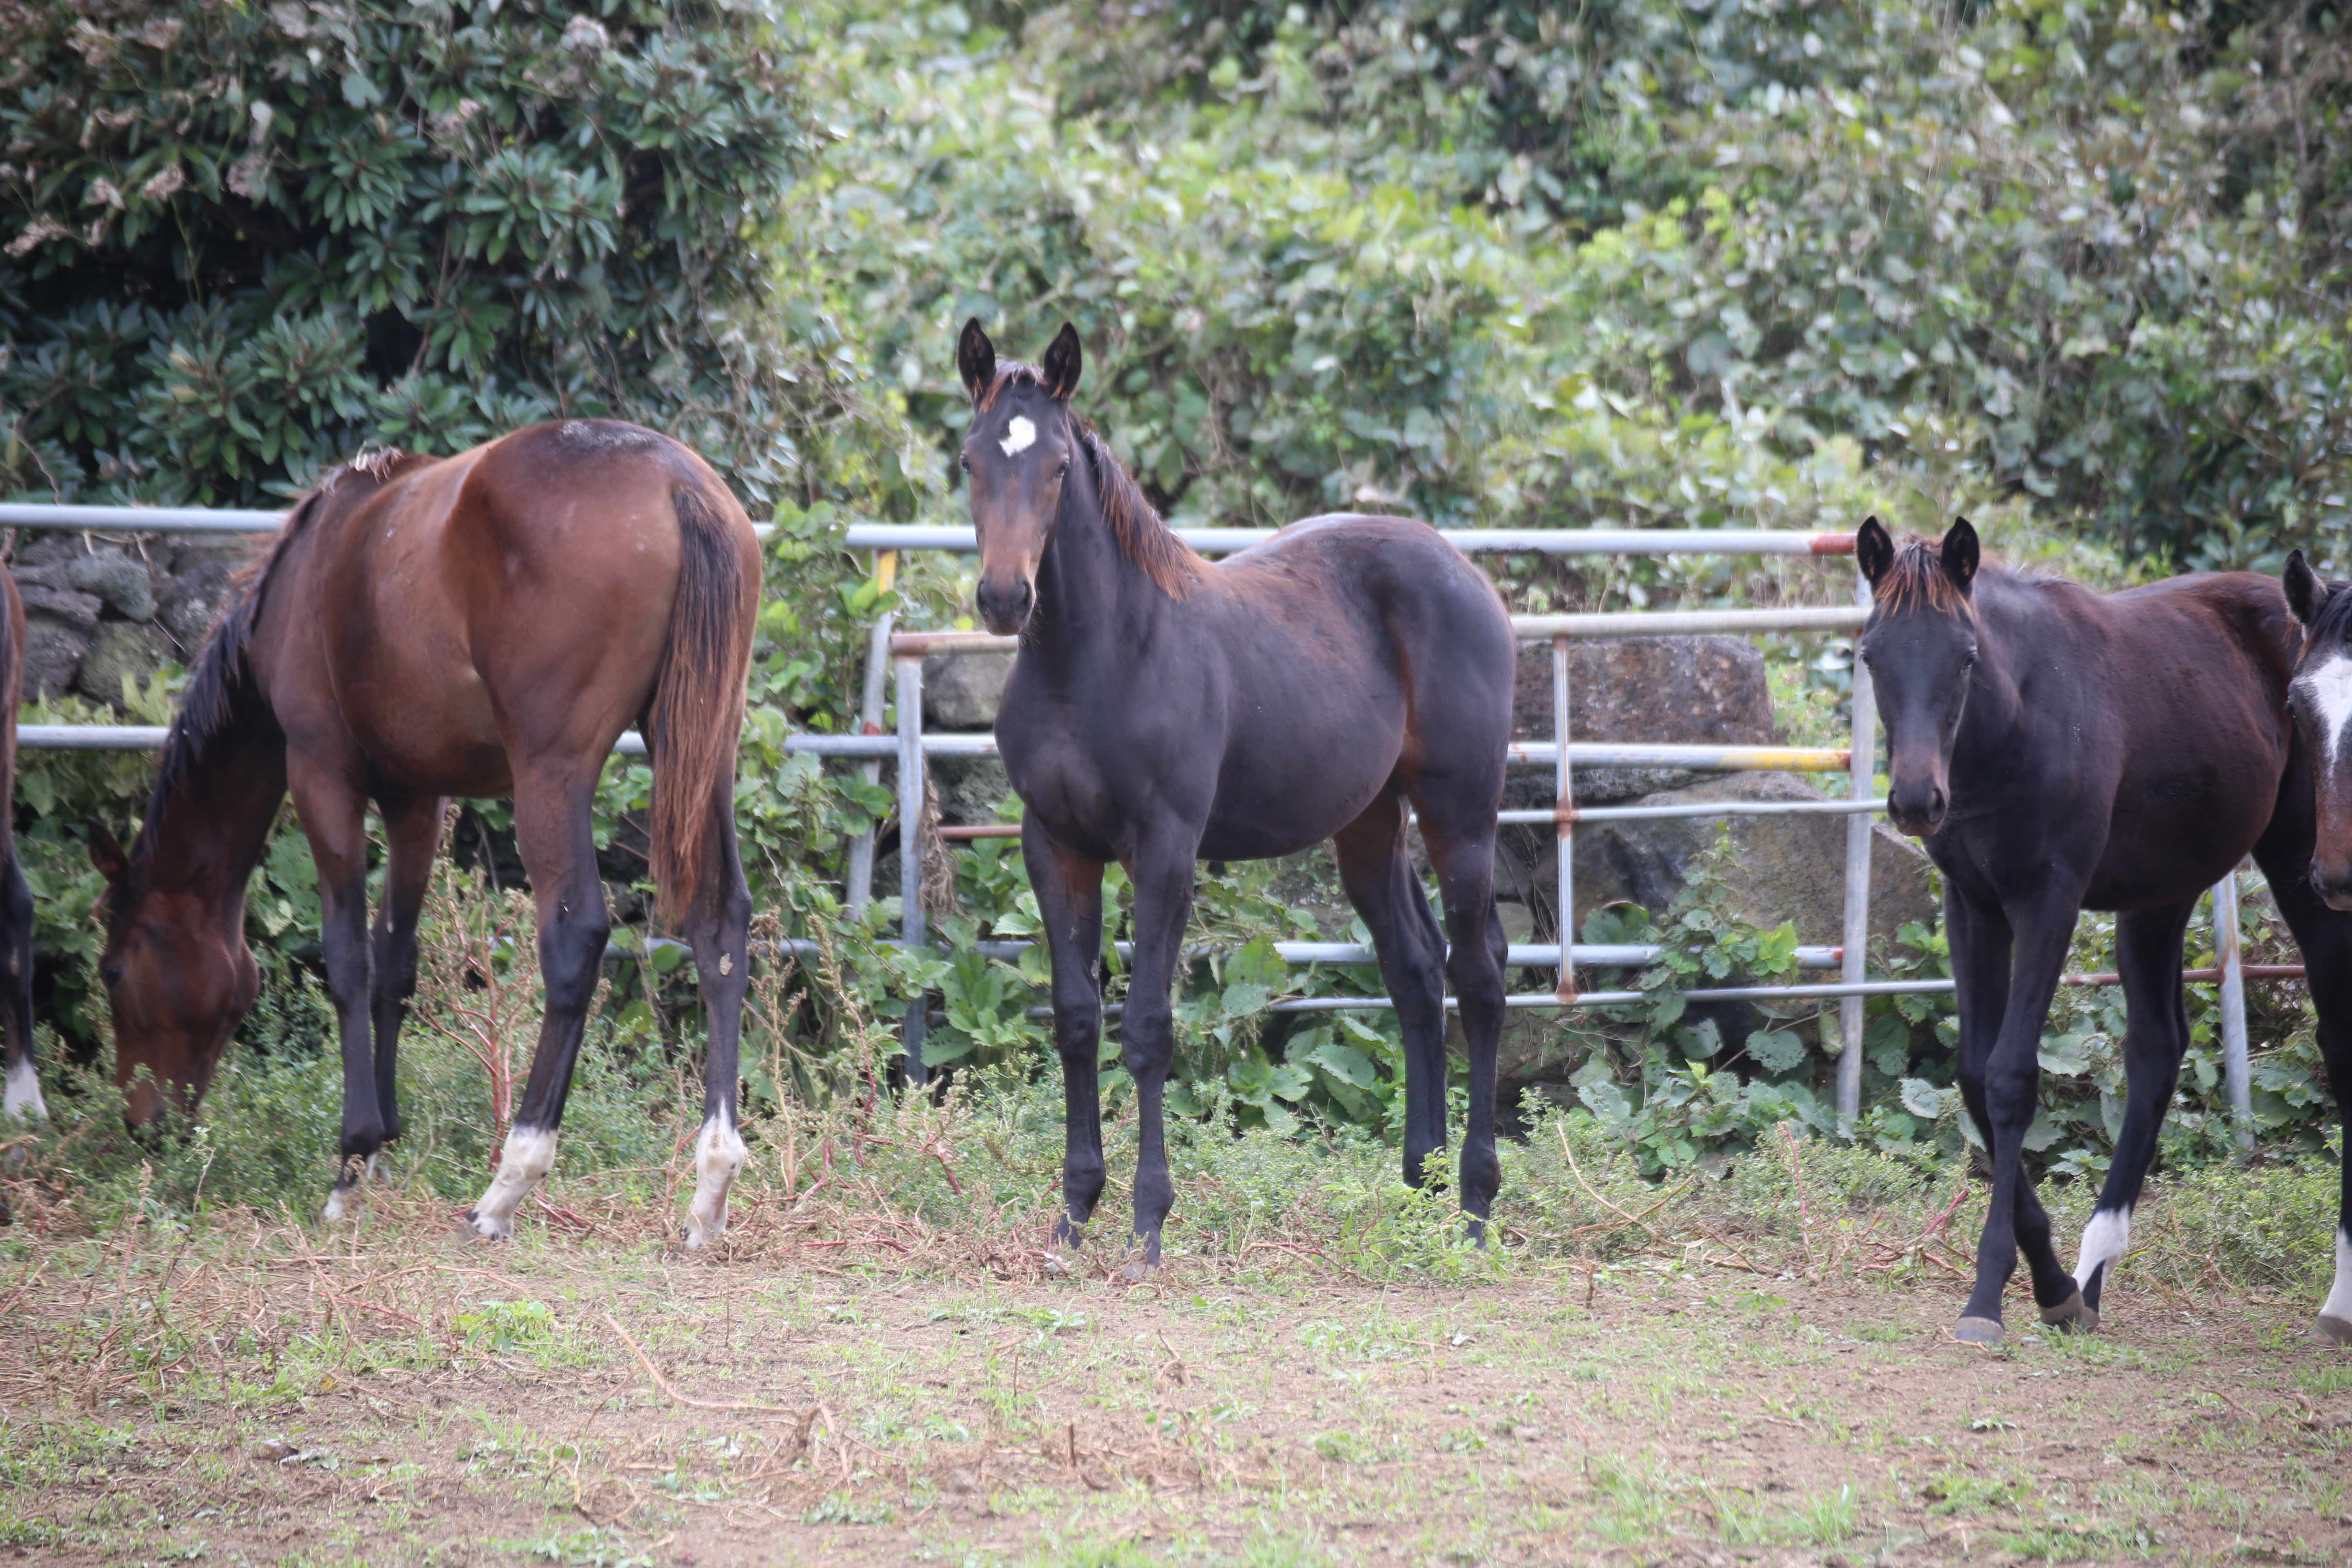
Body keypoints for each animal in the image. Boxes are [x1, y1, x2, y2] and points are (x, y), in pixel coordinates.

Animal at [87, 423, 753, 1241]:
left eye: (114, 972)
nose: (144, 1128)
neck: (306, 577)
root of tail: (675, 479)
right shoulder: (416, 797)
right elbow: (395, 961)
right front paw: (383, 1148)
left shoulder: (322, 775)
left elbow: (349, 960)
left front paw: (351, 1163)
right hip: (701, 749)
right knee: (719, 925)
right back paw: (712, 1182)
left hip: (553, 772)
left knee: (576, 939)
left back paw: (508, 1183)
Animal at [960, 319, 1524, 1260]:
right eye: (970, 459)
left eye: (1060, 468)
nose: (1006, 598)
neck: (1093, 662)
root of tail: (1469, 573)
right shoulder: (1056, 846)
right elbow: (1076, 1019)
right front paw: (1074, 1214)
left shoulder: (1165, 850)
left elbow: (1148, 1028)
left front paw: (1149, 1226)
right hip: (1369, 825)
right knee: (1414, 970)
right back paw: (1421, 1184)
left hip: (1461, 813)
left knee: (1479, 976)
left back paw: (1477, 1206)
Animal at [1862, 517, 2342, 1354]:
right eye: (1870, 655)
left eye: (1965, 656)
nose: (1918, 800)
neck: (2016, 721)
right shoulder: (1972, 906)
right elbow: (1973, 1075)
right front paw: (2053, 1286)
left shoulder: (2048, 899)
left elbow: (2012, 1077)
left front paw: (1988, 1295)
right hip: (2160, 896)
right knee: (2156, 1049)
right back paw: (2092, 1273)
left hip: (2300, 873)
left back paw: (2337, 1301)